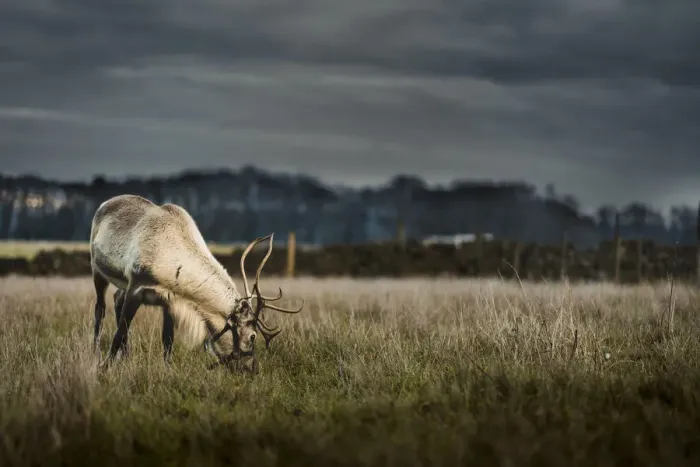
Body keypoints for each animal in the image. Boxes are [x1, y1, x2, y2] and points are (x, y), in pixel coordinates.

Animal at [89, 194, 303, 372]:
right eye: (252, 336)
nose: (254, 368)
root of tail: (104, 204)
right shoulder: (136, 287)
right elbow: (118, 334)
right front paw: (104, 368)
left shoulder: (170, 300)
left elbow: (167, 339)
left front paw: (167, 369)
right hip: (97, 269)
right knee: (100, 308)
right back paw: (96, 353)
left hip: (121, 283)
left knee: (117, 298)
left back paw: (125, 356)